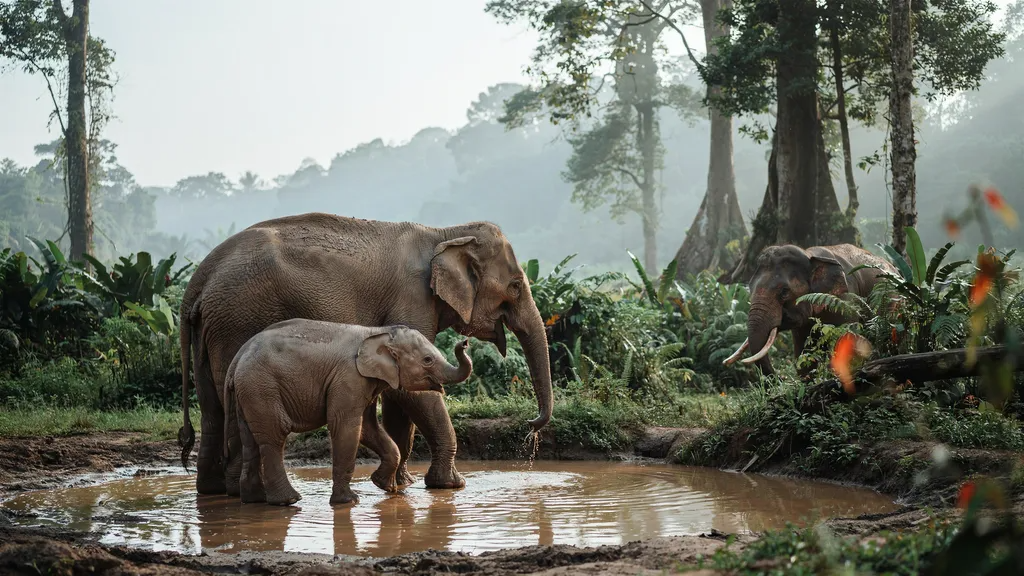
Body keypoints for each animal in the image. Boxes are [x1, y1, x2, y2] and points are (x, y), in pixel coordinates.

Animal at [226, 320, 473, 506]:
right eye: (428, 360)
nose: (465, 341)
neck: (378, 332)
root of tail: (237, 358)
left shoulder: (367, 382)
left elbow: (367, 428)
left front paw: (384, 486)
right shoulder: (349, 378)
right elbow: (346, 427)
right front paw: (349, 502)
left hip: (249, 391)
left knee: (250, 439)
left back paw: (254, 500)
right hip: (261, 387)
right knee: (274, 436)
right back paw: (289, 501)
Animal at [722, 243, 897, 375]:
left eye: (784, 292)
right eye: (749, 288)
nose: (779, 377)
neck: (809, 255)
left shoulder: (845, 301)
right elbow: (804, 355)